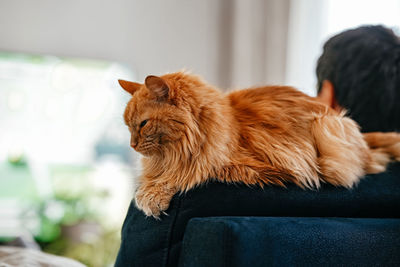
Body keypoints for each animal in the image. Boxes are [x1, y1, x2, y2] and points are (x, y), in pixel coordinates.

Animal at [118, 72, 400, 219]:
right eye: (128, 126)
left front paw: (151, 196)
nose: (132, 145)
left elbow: (189, 173)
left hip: (328, 136)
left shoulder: (246, 164)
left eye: (143, 124)